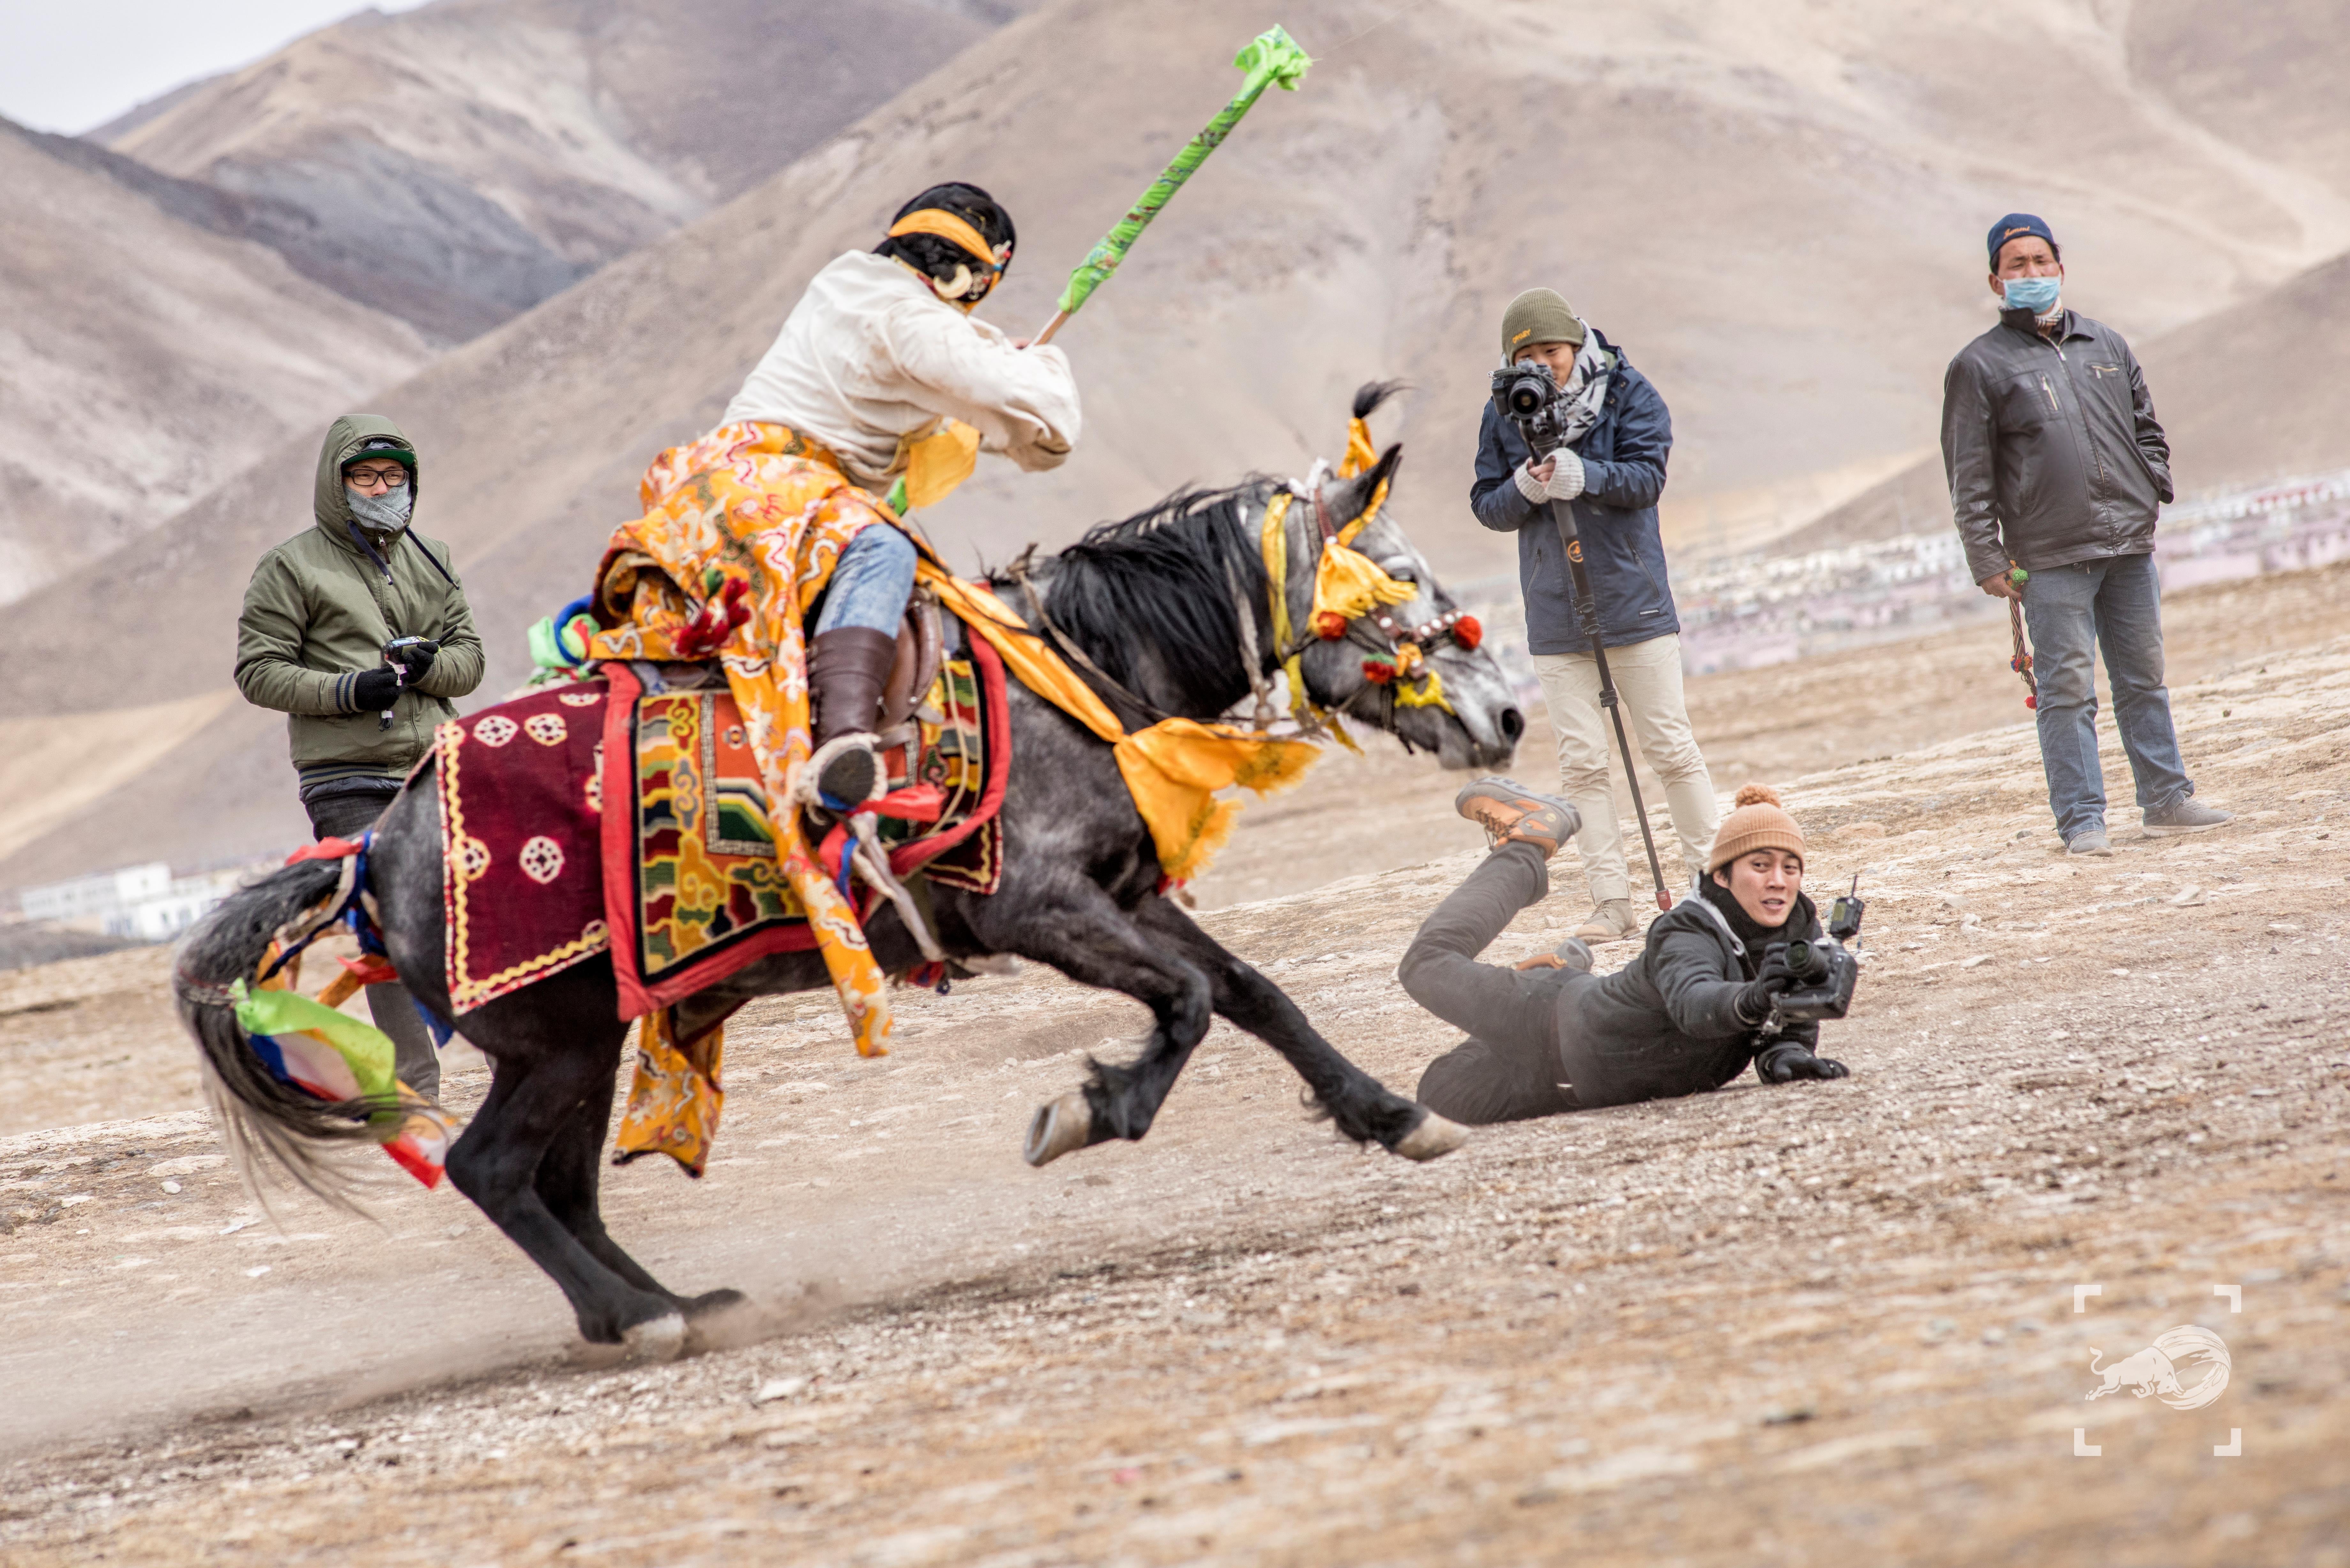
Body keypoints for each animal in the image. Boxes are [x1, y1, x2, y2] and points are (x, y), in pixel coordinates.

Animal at [188, 433, 1542, 1363]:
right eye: (1398, 577)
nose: (1508, 716)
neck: (1071, 675)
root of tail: (376, 848)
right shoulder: (1039, 908)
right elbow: (1190, 1004)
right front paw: (1088, 1110)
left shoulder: (1124, 893)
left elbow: (1254, 994)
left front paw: (1389, 1115)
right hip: (556, 1035)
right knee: (493, 1171)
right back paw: (641, 1318)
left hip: (586, 1034)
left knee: (554, 1183)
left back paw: (673, 1304)